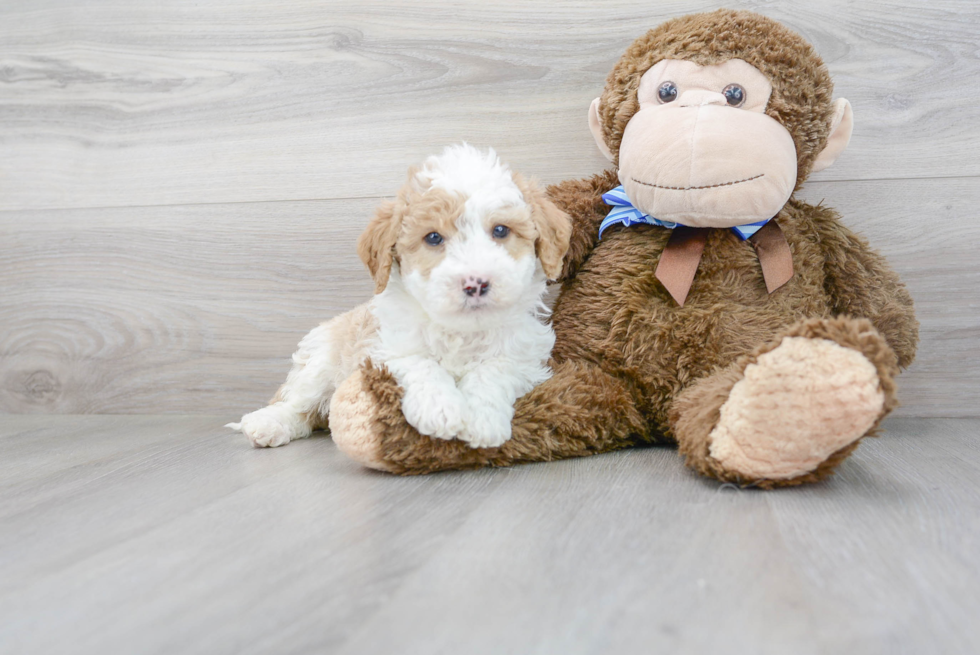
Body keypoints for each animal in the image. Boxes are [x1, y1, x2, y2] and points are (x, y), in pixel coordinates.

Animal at [226, 144, 572, 452]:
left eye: (500, 231)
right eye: (433, 237)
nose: (475, 283)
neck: (461, 331)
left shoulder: (527, 358)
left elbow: (495, 369)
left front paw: (481, 420)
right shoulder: (381, 349)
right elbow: (419, 362)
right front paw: (440, 409)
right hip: (321, 360)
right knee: (298, 404)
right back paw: (267, 424)